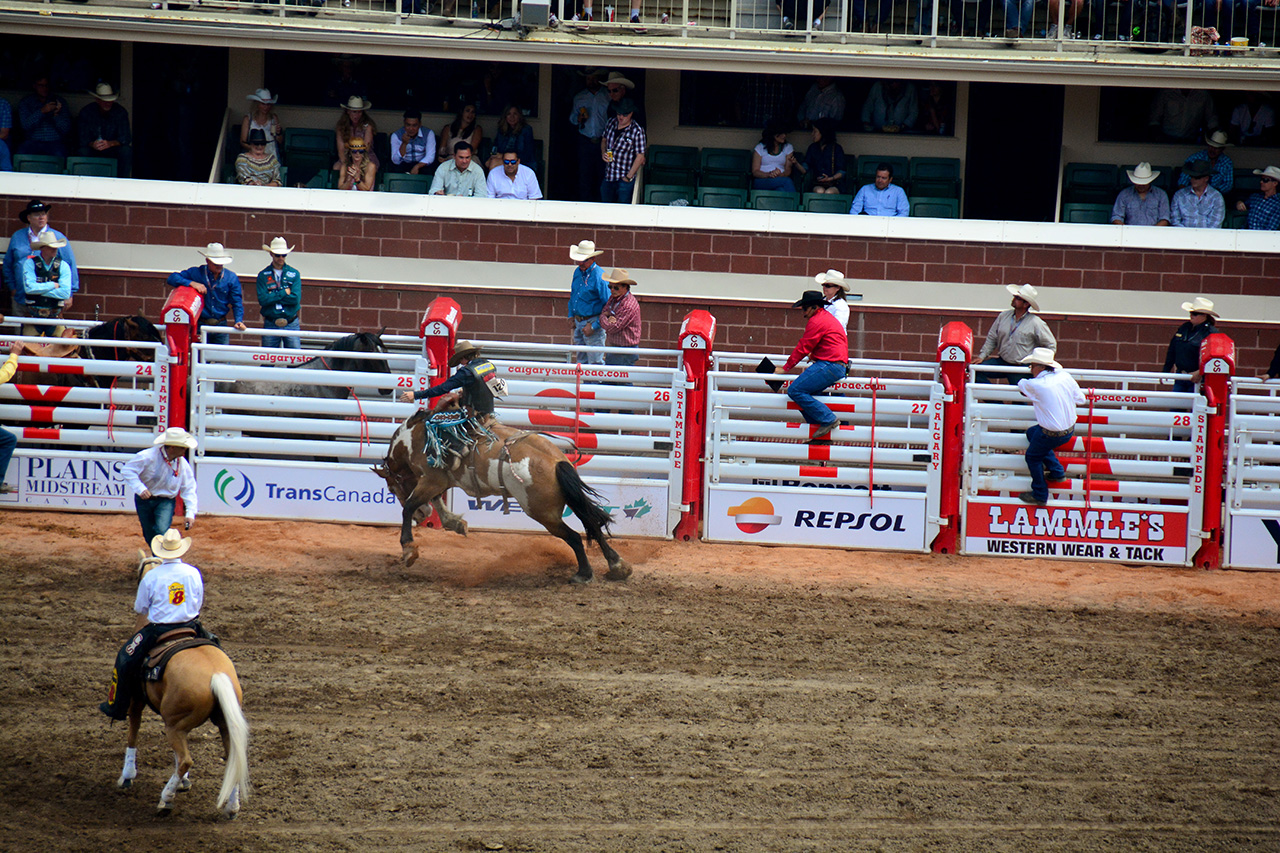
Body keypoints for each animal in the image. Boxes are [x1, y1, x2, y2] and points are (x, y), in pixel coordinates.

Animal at [117, 640, 252, 814]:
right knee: (233, 761)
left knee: (185, 761)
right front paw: (183, 782)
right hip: (225, 726)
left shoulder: (137, 697)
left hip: (174, 726)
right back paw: (232, 807)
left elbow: (133, 731)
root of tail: (216, 674)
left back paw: (166, 799)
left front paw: (127, 775)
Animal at [373, 409, 632, 581]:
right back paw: (618, 566)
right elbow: (437, 502)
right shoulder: (439, 482)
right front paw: (455, 523)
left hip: (544, 513)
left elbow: (408, 507)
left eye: (392, 488)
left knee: (575, 537)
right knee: (592, 524)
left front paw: (409, 550)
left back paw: (584, 574)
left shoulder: (430, 479)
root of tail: (556, 462)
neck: (415, 439)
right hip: (569, 498)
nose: (422, 515)